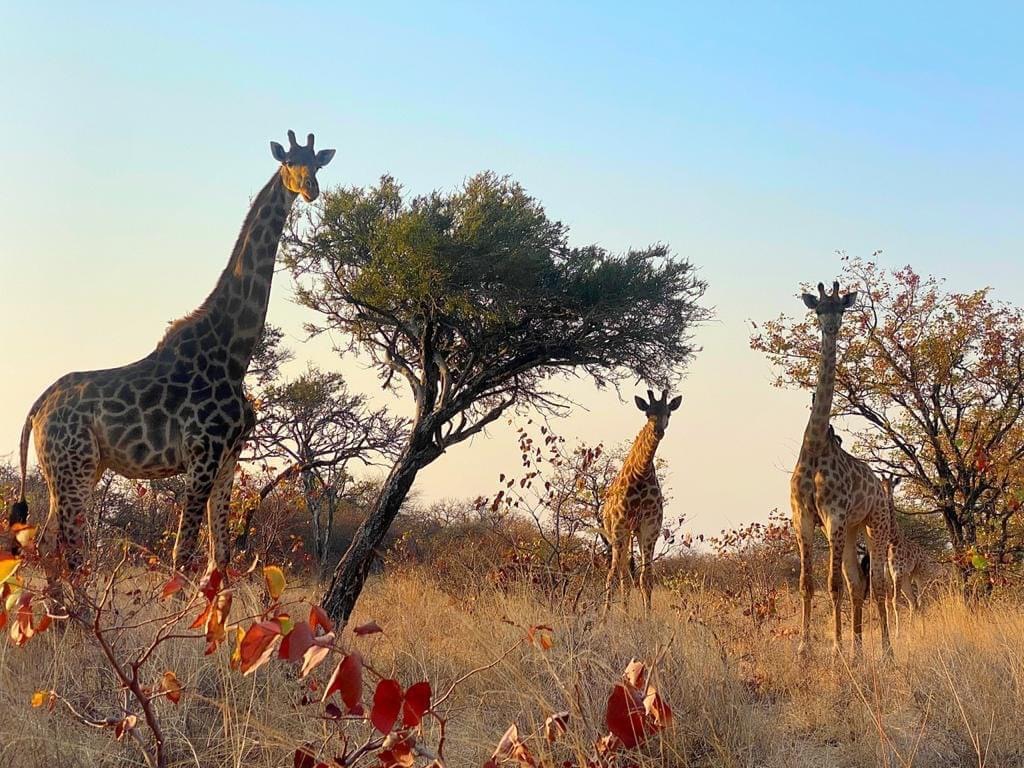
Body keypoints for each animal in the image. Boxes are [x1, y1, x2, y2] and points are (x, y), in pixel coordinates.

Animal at [8, 131, 335, 575]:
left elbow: (220, 560)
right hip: (72, 465)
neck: (235, 352)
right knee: (68, 553)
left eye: (316, 164)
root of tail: (37, 408)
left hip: (79, 469)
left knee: (49, 548)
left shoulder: (229, 458)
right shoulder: (203, 455)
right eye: (288, 162)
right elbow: (183, 556)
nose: (310, 189)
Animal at [601, 388, 681, 615]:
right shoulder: (620, 527)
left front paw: (647, 617)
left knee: (626, 575)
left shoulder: (650, 528)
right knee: (619, 573)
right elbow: (613, 576)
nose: (658, 431)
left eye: (668, 413)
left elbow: (646, 578)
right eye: (648, 413)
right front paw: (604, 619)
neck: (641, 472)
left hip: (632, 533)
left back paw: (627, 614)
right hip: (616, 534)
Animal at [790, 281, 891, 657]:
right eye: (819, 309)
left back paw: (886, 652)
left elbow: (832, 584)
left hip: (874, 524)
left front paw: (834, 648)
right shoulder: (802, 516)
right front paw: (804, 648)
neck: (815, 444)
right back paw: (859, 650)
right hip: (850, 531)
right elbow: (807, 583)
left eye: (842, 310)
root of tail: (880, 487)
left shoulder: (833, 515)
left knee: (877, 585)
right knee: (856, 583)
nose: (831, 327)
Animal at [881, 475, 941, 637]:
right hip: (907, 578)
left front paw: (897, 634)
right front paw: (889, 633)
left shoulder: (897, 572)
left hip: (920, 575)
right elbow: (887, 602)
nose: (887, 496)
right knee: (912, 601)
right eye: (882, 485)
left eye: (893, 486)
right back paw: (913, 630)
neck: (891, 539)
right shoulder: (888, 574)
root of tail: (925, 555)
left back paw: (923, 632)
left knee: (921, 601)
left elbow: (895, 601)